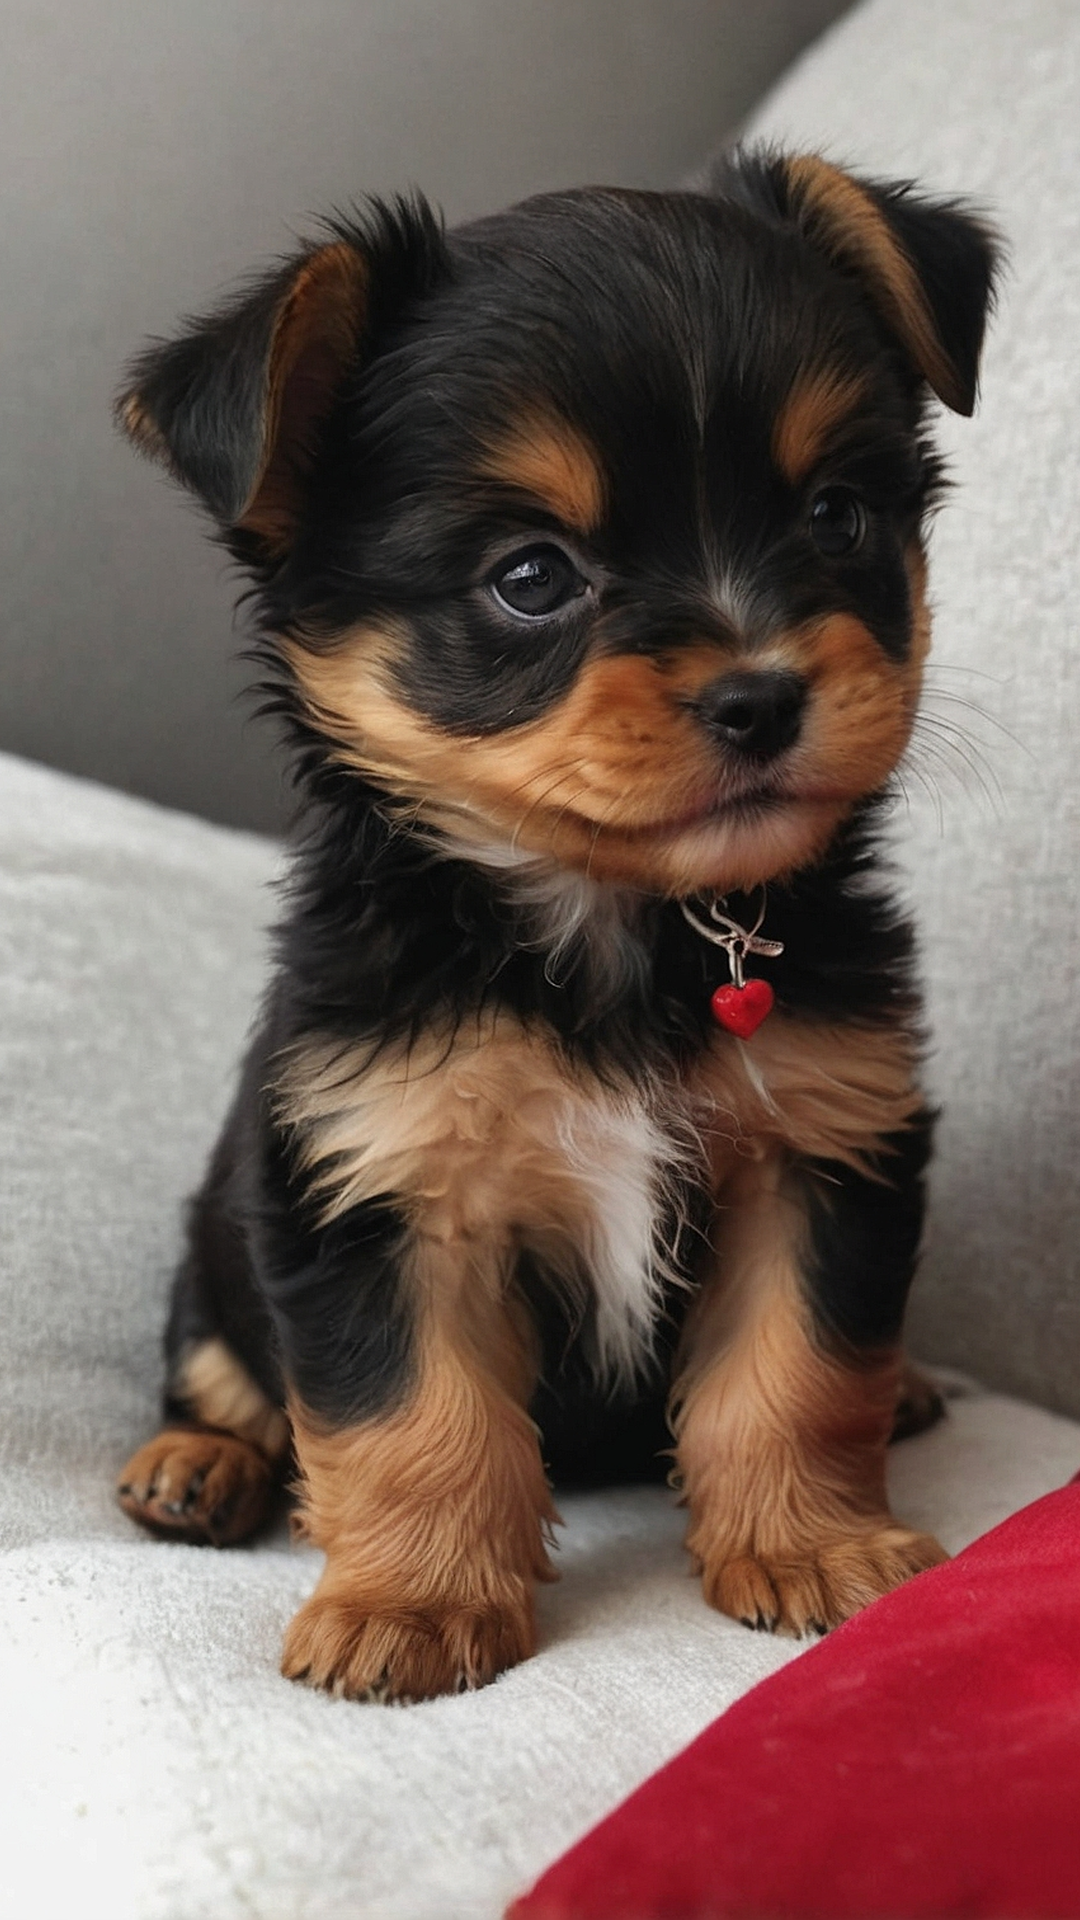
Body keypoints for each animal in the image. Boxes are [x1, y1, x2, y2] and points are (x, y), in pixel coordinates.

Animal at [115, 153, 991, 1712]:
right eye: (530, 577)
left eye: (836, 516)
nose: (760, 694)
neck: (617, 922)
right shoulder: (377, 1177)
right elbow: (413, 1414)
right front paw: (411, 1603)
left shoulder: (818, 1143)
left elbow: (800, 1370)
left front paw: (812, 1546)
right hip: (214, 1252)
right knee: (219, 1373)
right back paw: (195, 1467)